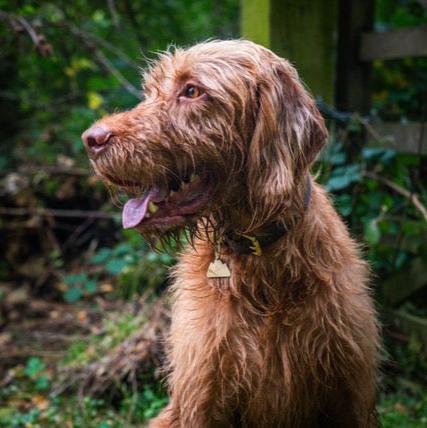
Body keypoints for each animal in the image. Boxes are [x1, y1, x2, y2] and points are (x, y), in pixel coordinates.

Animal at [83, 41, 382, 428]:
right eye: (150, 91)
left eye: (192, 91)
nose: (91, 139)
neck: (261, 267)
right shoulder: (201, 395)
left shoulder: (350, 392)